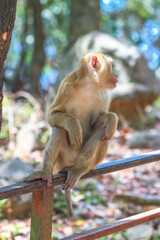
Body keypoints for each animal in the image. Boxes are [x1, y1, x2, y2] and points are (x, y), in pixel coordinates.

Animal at [25, 52, 118, 219]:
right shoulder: (66, 86)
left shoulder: (104, 95)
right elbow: (52, 115)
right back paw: (46, 172)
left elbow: (98, 120)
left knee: (103, 131)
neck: (89, 86)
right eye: (111, 65)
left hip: (85, 159)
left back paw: (80, 168)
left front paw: (112, 119)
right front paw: (74, 127)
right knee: (60, 128)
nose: (116, 75)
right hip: (62, 160)